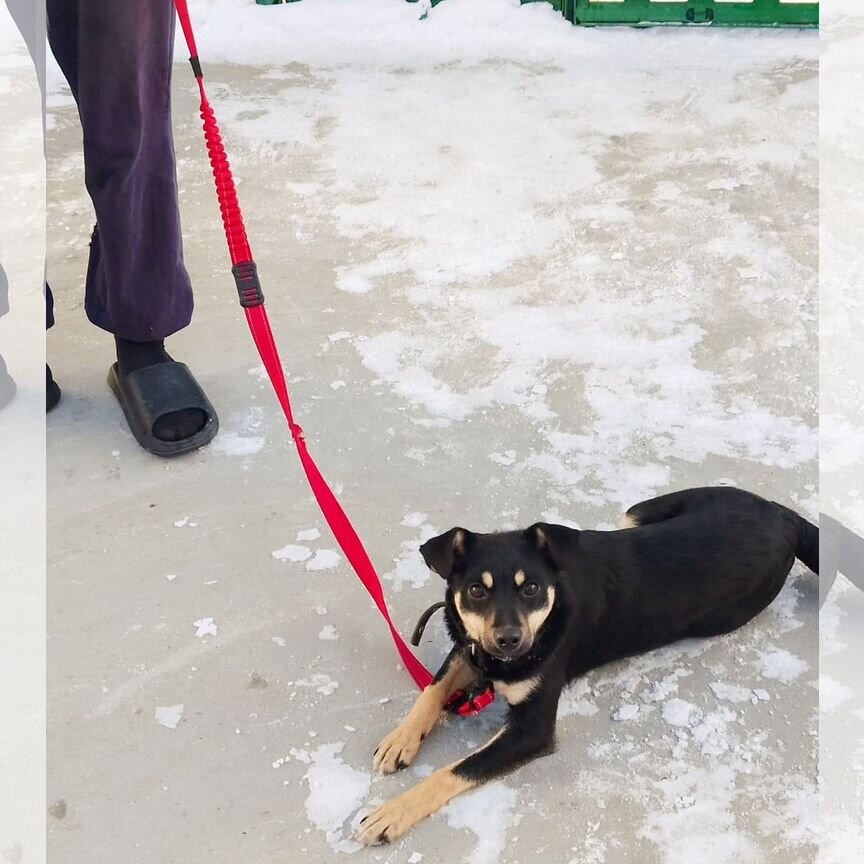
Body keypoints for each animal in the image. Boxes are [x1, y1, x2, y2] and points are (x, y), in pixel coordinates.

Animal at [356, 486, 816, 844]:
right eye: (476, 590)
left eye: (531, 588)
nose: (510, 639)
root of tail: (784, 514)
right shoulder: (470, 647)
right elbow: (432, 690)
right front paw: (401, 740)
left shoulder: (531, 730)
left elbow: (454, 770)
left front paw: (392, 813)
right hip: (639, 512)